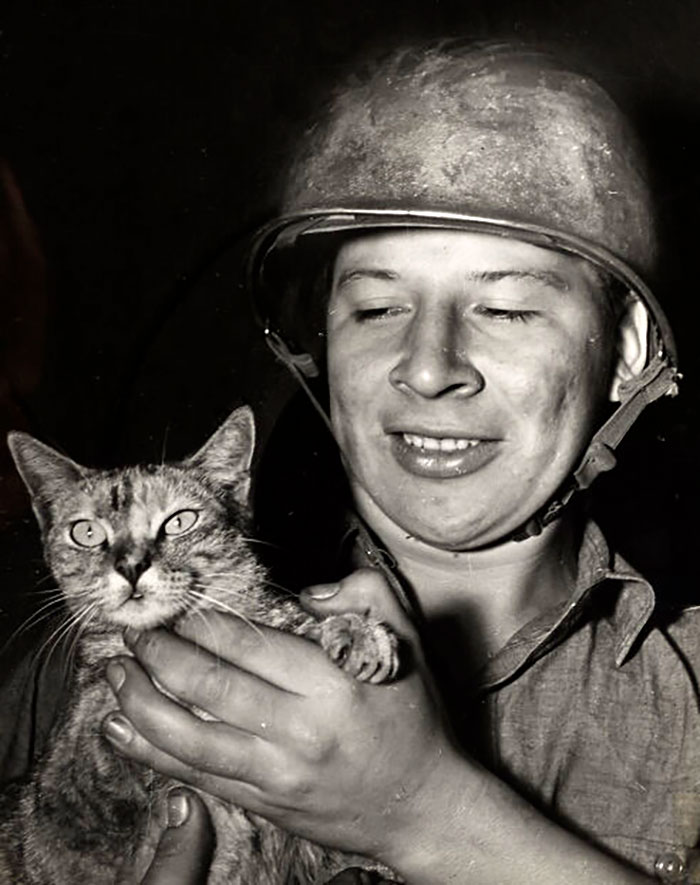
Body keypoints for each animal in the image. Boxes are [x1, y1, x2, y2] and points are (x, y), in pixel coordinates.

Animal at [0, 408, 400, 884]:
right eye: (86, 533)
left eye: (178, 522)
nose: (130, 566)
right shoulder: (72, 784)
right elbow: (94, 735)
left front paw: (353, 630)